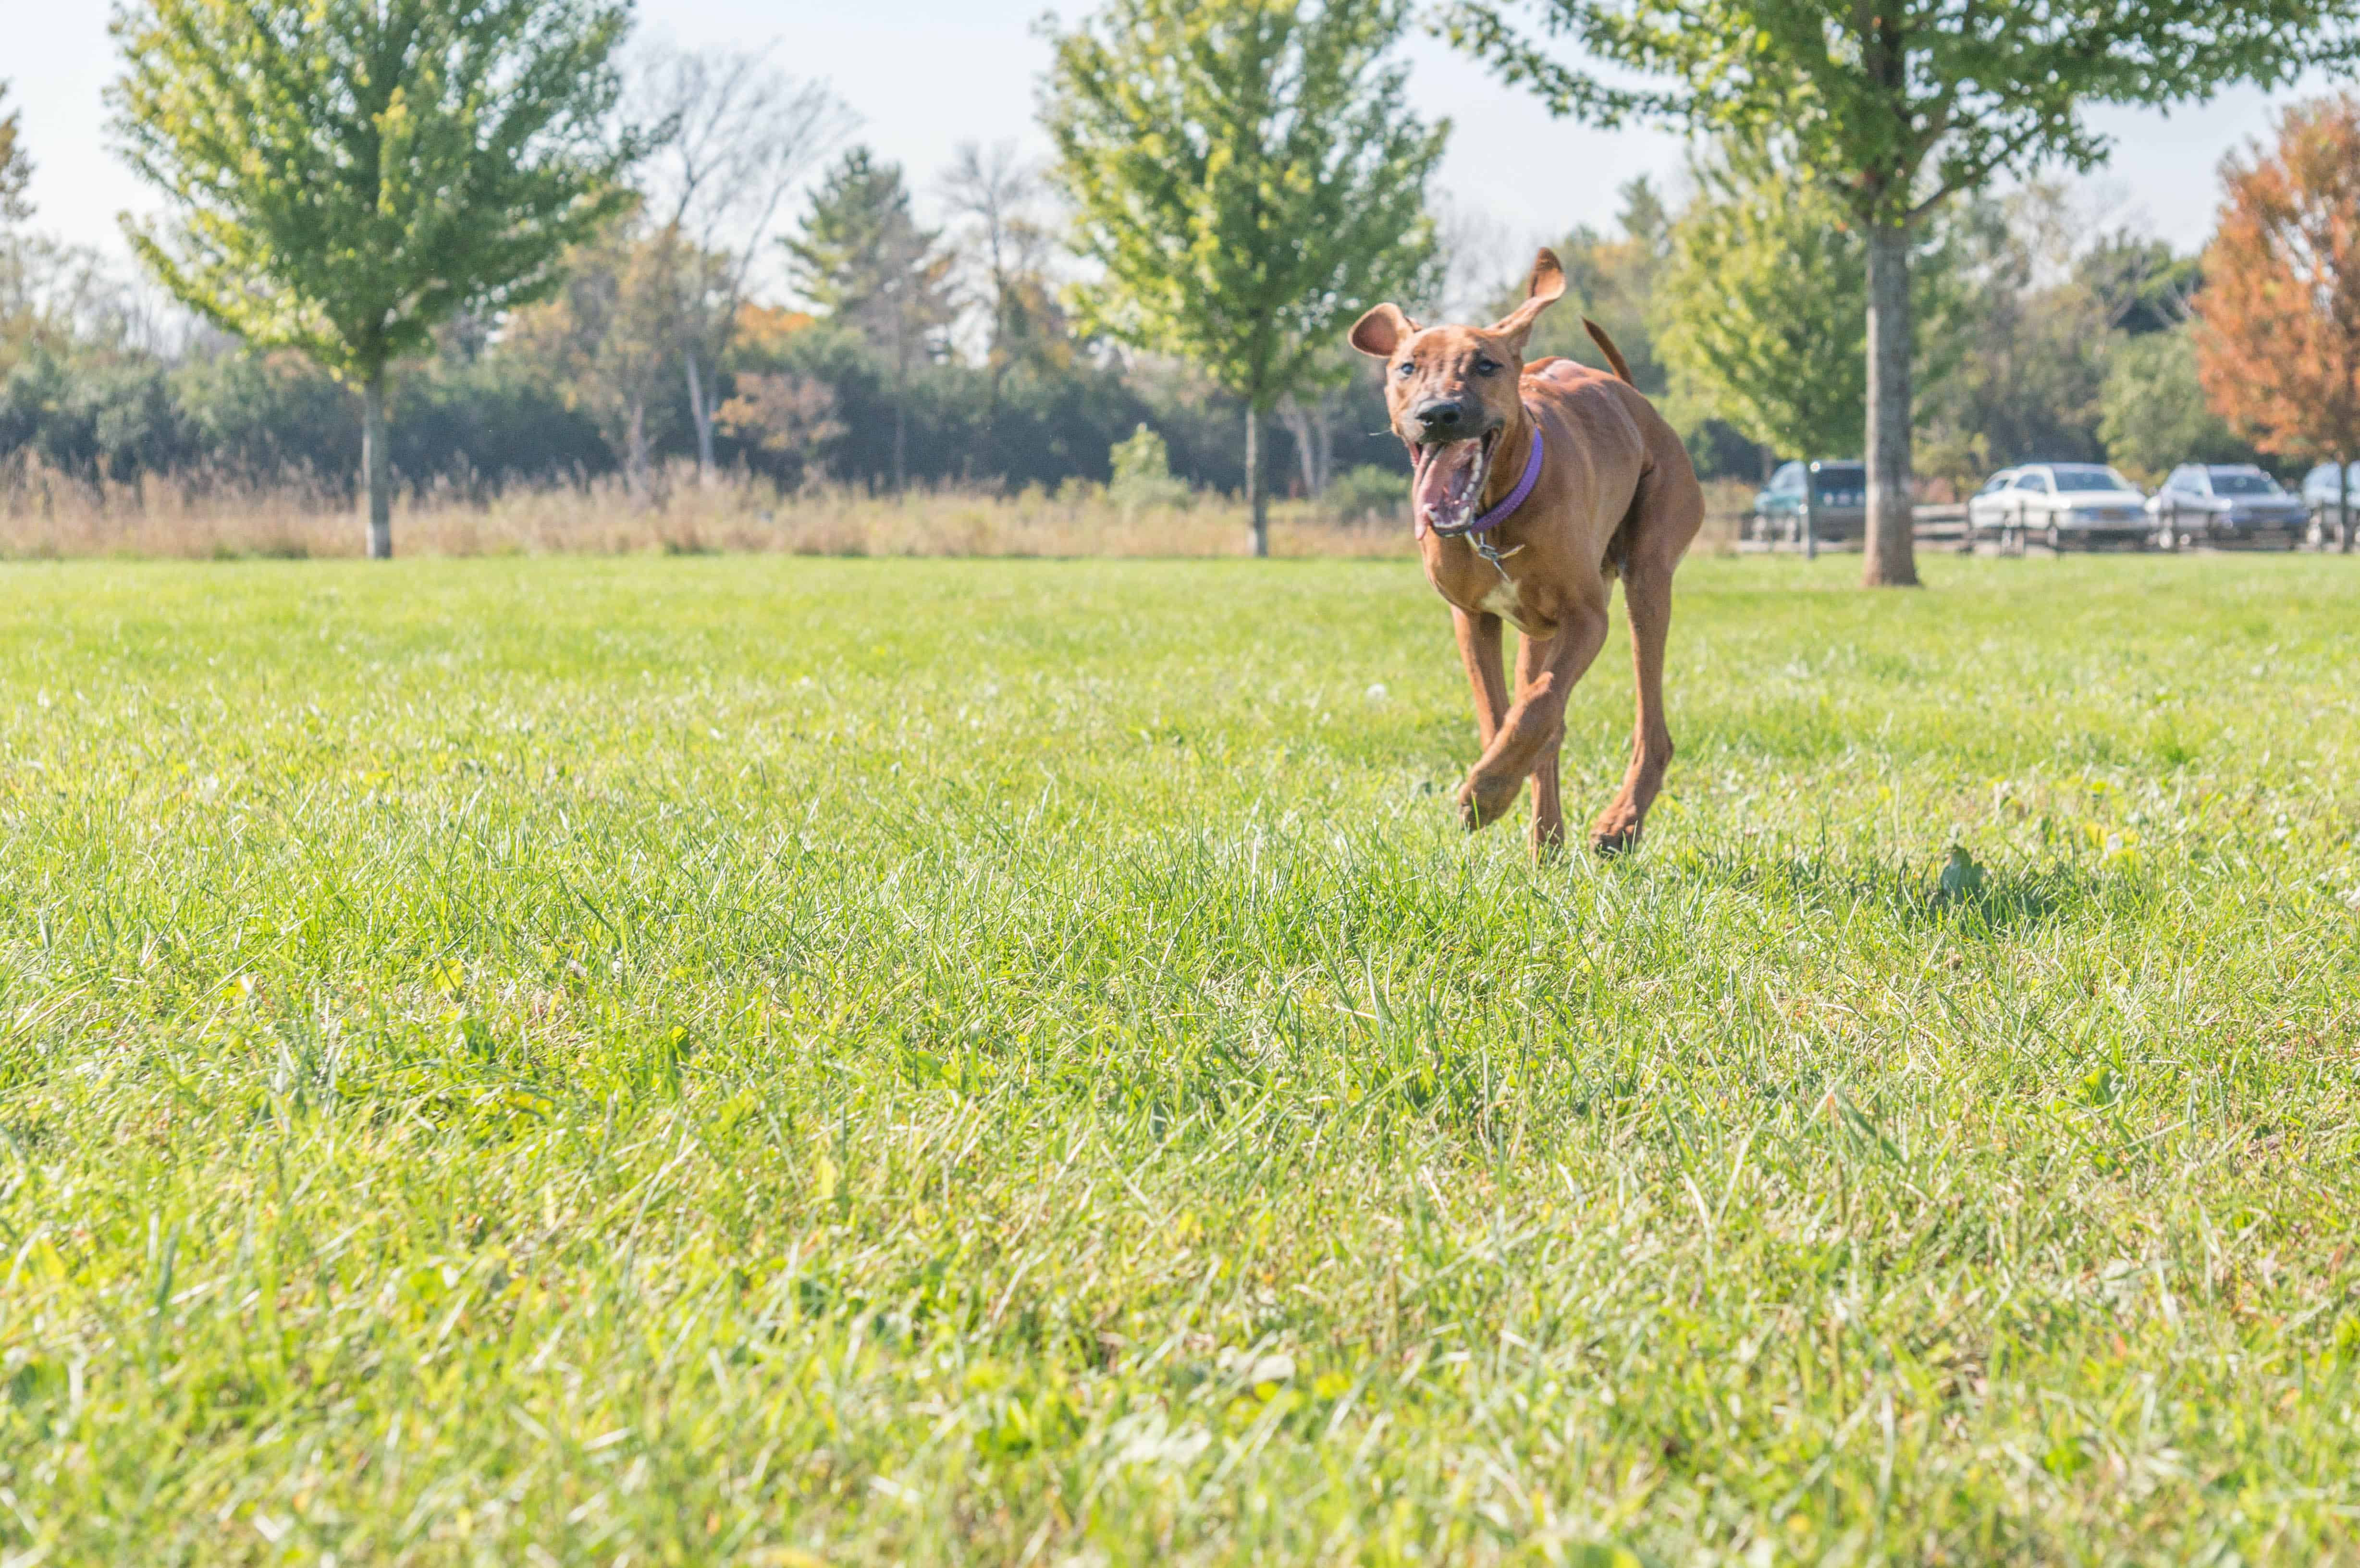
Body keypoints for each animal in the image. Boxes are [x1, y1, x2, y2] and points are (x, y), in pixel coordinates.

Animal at [1350, 249, 1699, 850]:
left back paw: (1619, 823)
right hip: (1538, 633)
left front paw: (1487, 791)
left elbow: (1539, 705)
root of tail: (1637, 401)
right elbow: (1504, 717)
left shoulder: (1587, 617)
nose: (1438, 413)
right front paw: (1495, 786)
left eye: (1486, 366)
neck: (1492, 518)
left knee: (1649, 726)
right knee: (1546, 720)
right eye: (1407, 368)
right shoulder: (1472, 618)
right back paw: (1548, 843)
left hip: (1647, 578)